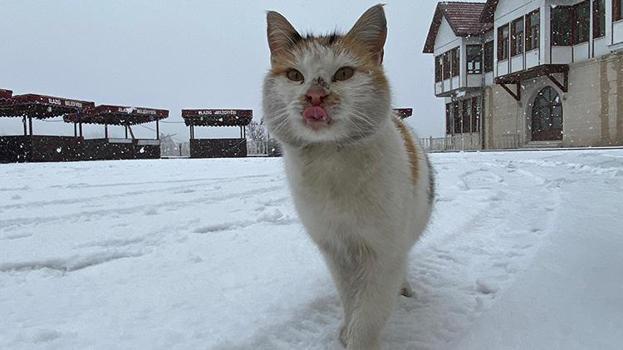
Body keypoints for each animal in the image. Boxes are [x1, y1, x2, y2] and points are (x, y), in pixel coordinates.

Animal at [262, 4, 434, 348]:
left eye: (343, 74)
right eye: (294, 75)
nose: (315, 96)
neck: (330, 160)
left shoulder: (383, 251)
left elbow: (370, 310)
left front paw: (358, 337)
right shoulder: (335, 248)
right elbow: (350, 296)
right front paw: (346, 327)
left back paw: (404, 286)